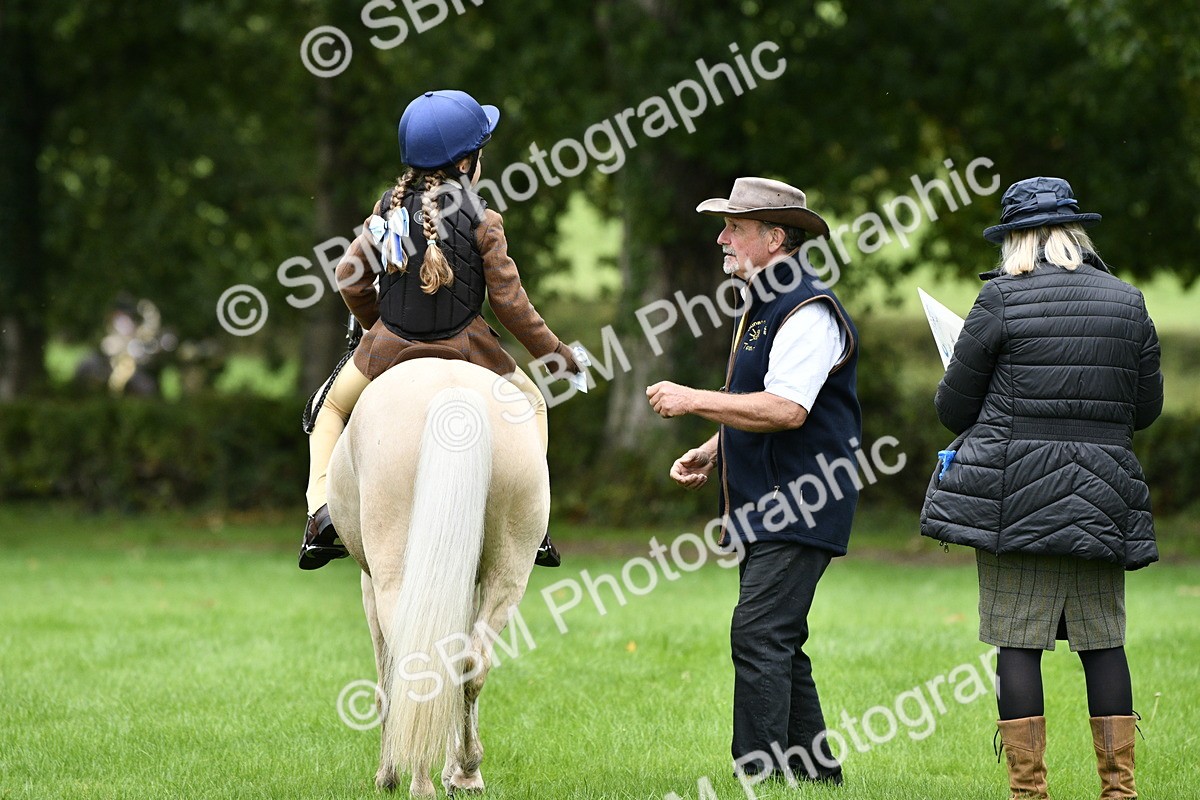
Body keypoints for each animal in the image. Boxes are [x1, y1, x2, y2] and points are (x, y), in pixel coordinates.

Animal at [326, 357, 548, 796]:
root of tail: (454, 391)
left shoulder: (370, 586)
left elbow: (388, 683)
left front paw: (388, 775)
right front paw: (456, 771)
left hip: (394, 577)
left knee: (418, 668)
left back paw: (419, 783)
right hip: (509, 571)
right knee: (470, 662)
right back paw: (467, 770)